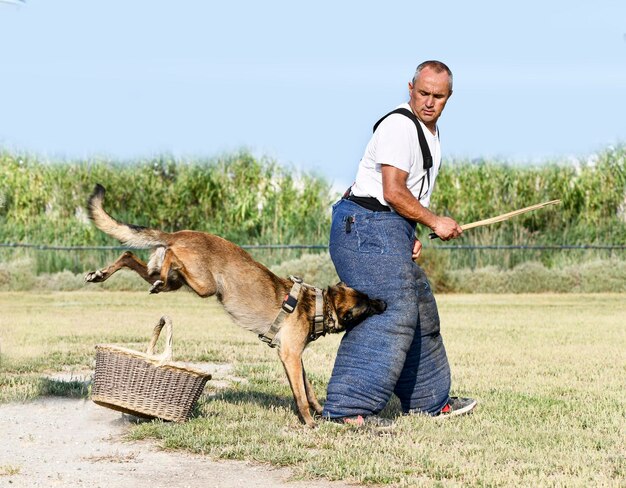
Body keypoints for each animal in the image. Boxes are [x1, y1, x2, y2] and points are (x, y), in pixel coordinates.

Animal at [83, 184, 386, 428]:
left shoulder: (293, 357)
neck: (317, 306)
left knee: (129, 255)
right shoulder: (290, 354)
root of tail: (178, 234)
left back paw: (100, 274)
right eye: (366, 306)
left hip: (171, 280)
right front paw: (310, 422)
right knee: (169, 256)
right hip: (203, 285)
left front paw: (320, 411)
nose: (384, 302)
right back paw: (162, 258)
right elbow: (300, 394)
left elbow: (307, 389)